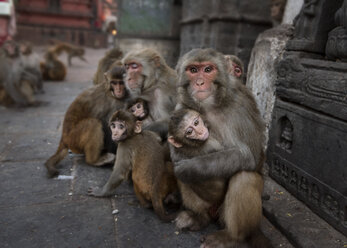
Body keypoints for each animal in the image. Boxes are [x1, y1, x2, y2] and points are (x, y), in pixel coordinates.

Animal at [174, 49, 272, 248]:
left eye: (208, 69)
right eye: (193, 70)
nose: (200, 82)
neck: (210, 106)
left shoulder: (240, 103)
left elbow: (248, 156)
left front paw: (190, 168)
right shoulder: (183, 106)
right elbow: (176, 151)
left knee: (244, 177)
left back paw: (231, 237)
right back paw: (198, 218)